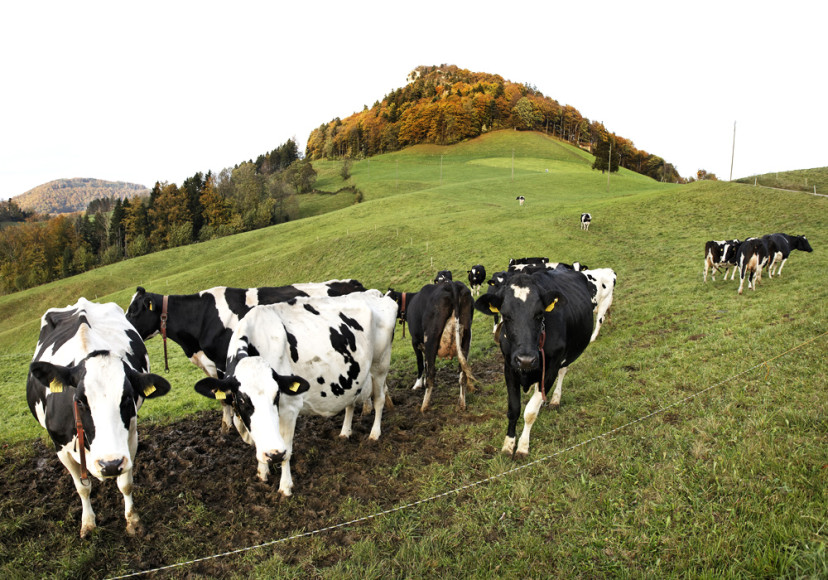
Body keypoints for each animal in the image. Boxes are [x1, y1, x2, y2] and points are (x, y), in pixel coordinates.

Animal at [26, 300, 171, 540]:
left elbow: (126, 484)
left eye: (127, 397)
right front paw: (88, 523)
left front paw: (133, 521)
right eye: (79, 401)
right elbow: (82, 488)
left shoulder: (130, 439)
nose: (109, 464)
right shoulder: (61, 448)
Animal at [126, 278, 366, 432]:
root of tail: (352, 283)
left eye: (135, 310)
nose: (126, 327)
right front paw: (226, 426)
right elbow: (221, 398)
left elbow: (227, 398)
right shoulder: (211, 365)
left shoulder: (223, 362)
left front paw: (234, 426)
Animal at [192, 290, 396, 494]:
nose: (273, 454)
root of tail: (374, 293)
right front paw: (262, 472)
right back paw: (345, 432)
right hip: (353, 375)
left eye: (277, 395)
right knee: (350, 402)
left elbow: (287, 449)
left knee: (379, 399)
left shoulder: (289, 408)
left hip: (380, 364)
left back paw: (374, 434)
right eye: (242, 400)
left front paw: (285, 486)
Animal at [386, 282, 476, 412]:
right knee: (463, 373)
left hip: (431, 337)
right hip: (466, 336)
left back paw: (424, 406)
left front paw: (418, 384)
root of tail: (452, 284)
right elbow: (425, 363)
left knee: (432, 373)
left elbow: (420, 363)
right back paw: (462, 404)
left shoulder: (416, 341)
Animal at [472, 268, 596, 458]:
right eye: (505, 316)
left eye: (540, 314)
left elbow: (530, 412)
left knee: (562, 372)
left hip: (568, 355)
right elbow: (514, 409)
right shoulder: (509, 368)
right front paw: (508, 444)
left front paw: (523, 447)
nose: (526, 360)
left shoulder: (550, 369)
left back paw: (554, 399)